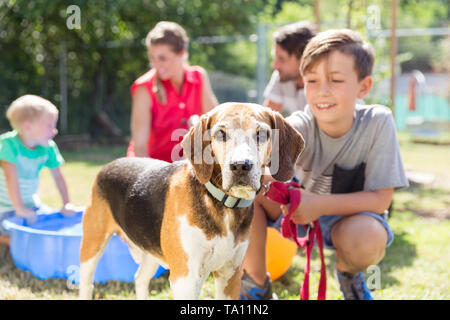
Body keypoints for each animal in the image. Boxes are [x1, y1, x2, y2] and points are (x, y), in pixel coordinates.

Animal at [79, 103, 304, 300]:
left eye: (262, 134)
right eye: (220, 134)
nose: (241, 166)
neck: (222, 205)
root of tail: (108, 166)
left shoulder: (230, 275)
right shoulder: (186, 278)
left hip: (151, 249)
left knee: (140, 279)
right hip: (92, 246)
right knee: (87, 283)